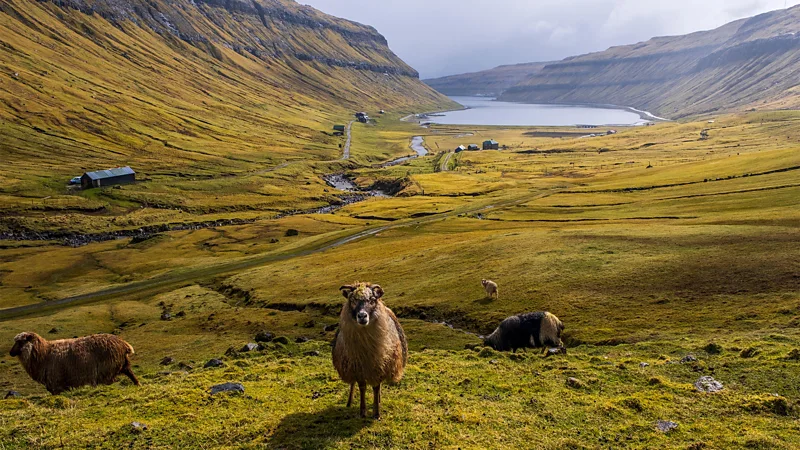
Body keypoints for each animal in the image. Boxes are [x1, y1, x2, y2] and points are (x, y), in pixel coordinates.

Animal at [10, 330, 141, 394]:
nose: (11, 353)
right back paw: (138, 385)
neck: (44, 353)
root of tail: (123, 344)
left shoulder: (56, 384)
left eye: (20, 342)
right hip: (122, 364)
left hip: (108, 369)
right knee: (131, 374)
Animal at [332, 282, 406, 418]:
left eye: (372, 300)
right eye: (352, 300)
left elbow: (376, 388)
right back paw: (349, 402)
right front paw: (362, 411)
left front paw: (376, 412)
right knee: (352, 383)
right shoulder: (358, 368)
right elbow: (362, 387)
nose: (362, 316)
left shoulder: (379, 366)